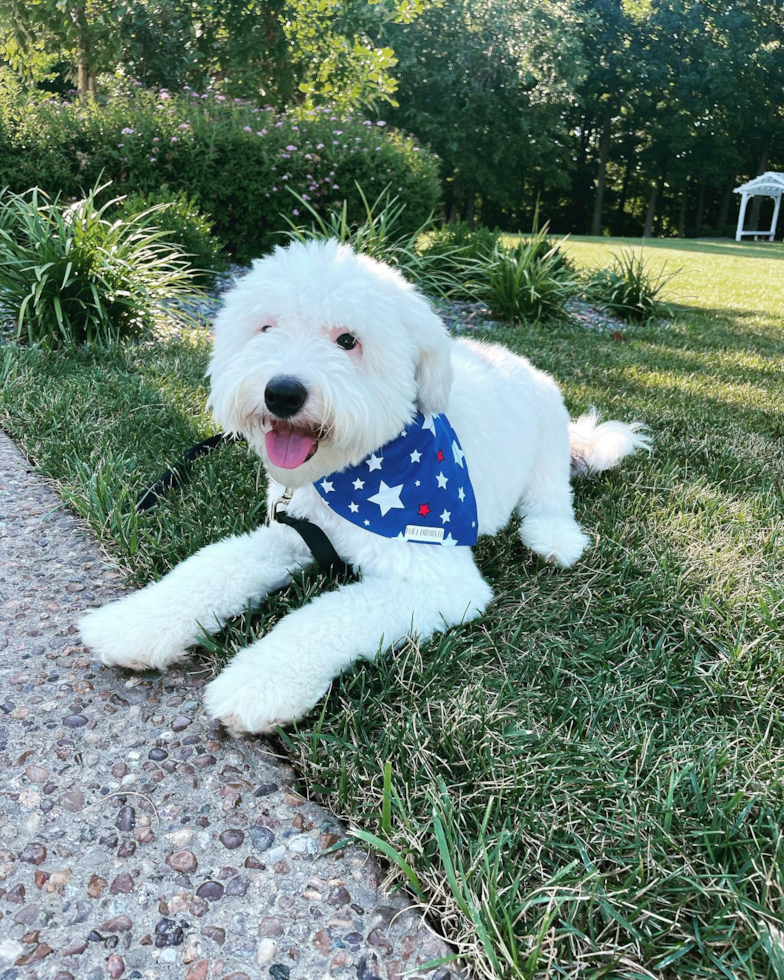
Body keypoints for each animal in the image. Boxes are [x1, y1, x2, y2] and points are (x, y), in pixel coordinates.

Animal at [79, 241, 652, 732]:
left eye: (348, 341)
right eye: (265, 328)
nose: (281, 392)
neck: (349, 474)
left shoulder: (438, 581)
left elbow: (326, 617)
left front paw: (259, 683)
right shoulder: (288, 535)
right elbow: (210, 568)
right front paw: (136, 621)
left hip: (549, 442)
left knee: (553, 498)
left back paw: (552, 538)